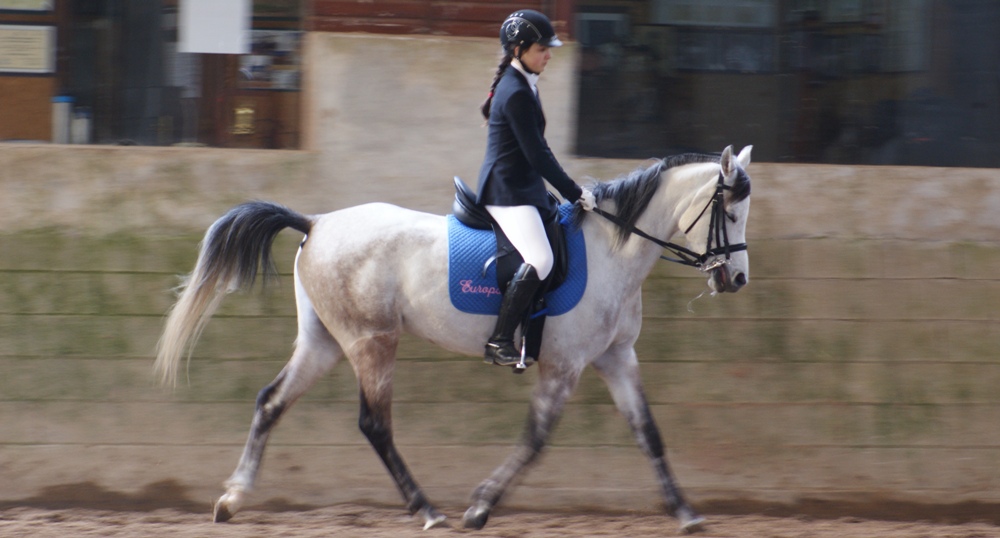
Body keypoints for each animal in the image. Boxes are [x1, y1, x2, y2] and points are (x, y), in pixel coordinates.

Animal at [154, 143, 752, 532]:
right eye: (729, 211)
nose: (737, 280)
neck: (613, 250)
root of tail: (317, 222)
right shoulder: (564, 365)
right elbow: (535, 439)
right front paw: (481, 506)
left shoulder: (616, 357)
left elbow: (649, 433)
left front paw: (687, 513)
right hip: (372, 341)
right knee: (374, 423)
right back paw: (426, 510)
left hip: (323, 341)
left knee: (270, 401)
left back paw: (233, 499)